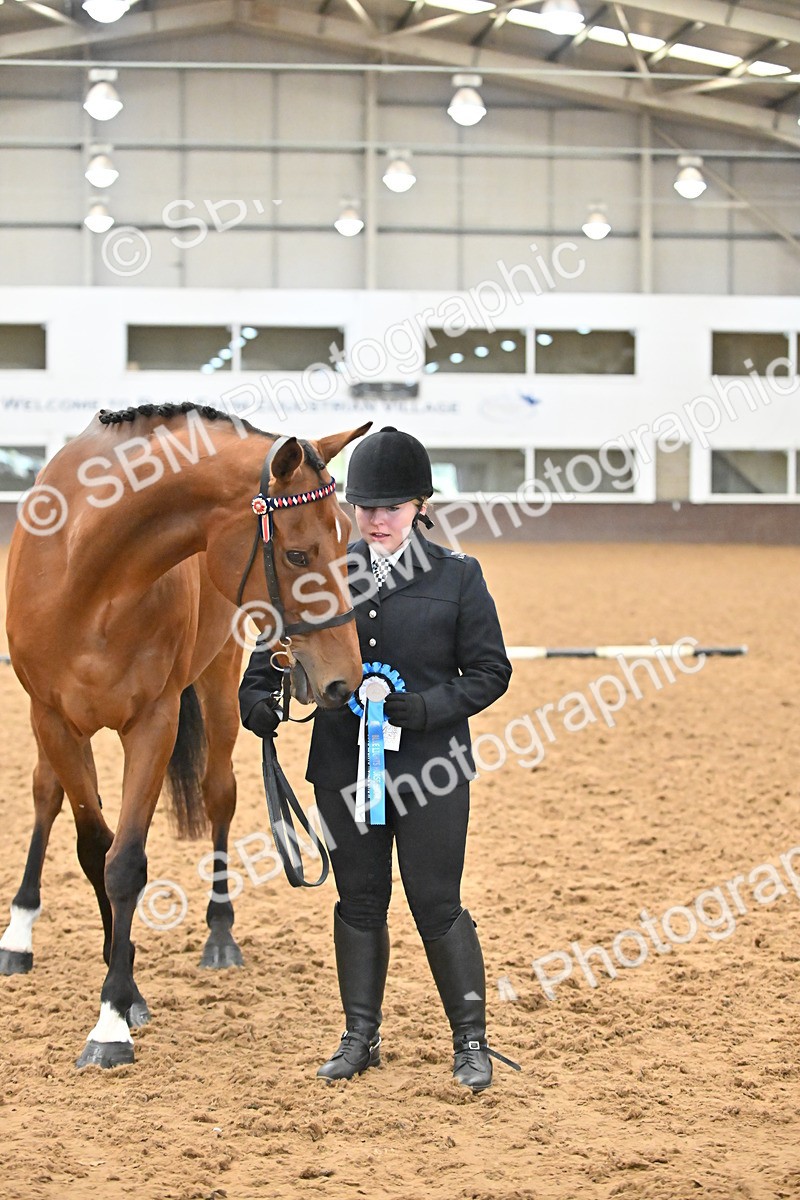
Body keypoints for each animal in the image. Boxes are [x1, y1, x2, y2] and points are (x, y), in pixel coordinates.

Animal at [1, 402, 368, 1068]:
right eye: (298, 556)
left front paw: (115, 1013)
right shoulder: (53, 719)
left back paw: (220, 934)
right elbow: (94, 847)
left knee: (219, 793)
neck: (91, 577)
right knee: (46, 795)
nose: (343, 680)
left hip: (221, 680)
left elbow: (125, 862)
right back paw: (18, 935)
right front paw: (117, 989)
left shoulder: (155, 722)